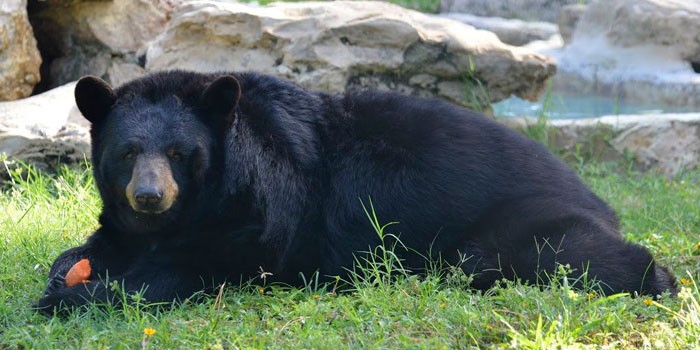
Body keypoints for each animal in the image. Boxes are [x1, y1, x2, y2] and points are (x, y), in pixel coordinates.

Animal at [35, 69, 676, 314]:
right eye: (127, 153)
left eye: (177, 154)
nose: (149, 196)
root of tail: (598, 198)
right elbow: (98, 242)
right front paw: (68, 272)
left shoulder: (263, 215)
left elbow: (188, 269)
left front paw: (75, 296)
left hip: (518, 223)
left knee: (569, 254)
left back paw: (657, 280)